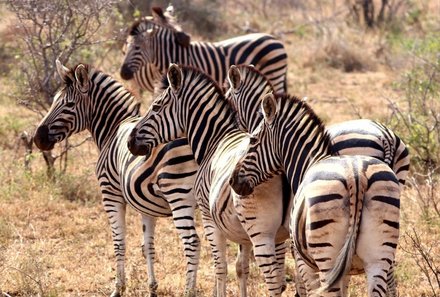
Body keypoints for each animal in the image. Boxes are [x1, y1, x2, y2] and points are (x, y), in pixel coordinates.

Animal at [32, 60, 199, 296]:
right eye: (54, 101)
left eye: (69, 105)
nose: (38, 138)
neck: (113, 128)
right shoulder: (146, 203)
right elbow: (148, 246)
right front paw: (152, 288)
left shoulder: (110, 193)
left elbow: (119, 242)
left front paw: (118, 288)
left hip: (179, 195)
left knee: (192, 244)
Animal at [126, 65, 292, 296]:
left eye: (156, 107)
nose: (130, 141)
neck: (215, 140)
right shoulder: (240, 229)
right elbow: (241, 267)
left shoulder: (208, 217)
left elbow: (220, 266)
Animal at [230, 92, 402, 296]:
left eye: (253, 140)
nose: (233, 181)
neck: (311, 161)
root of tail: (356, 176)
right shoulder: (346, 270)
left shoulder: (303, 262)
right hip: (379, 258)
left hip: (327, 258)